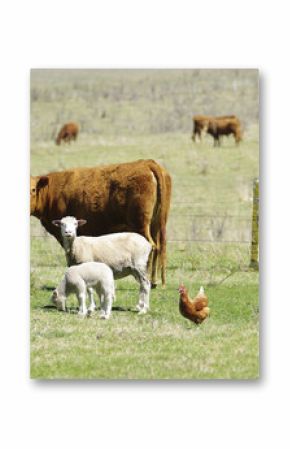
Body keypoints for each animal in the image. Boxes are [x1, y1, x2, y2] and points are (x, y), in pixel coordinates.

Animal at [30, 158, 170, 288]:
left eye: (33, 189)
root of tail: (147, 163)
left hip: (140, 225)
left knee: (151, 246)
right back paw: (154, 281)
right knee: (158, 247)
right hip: (155, 225)